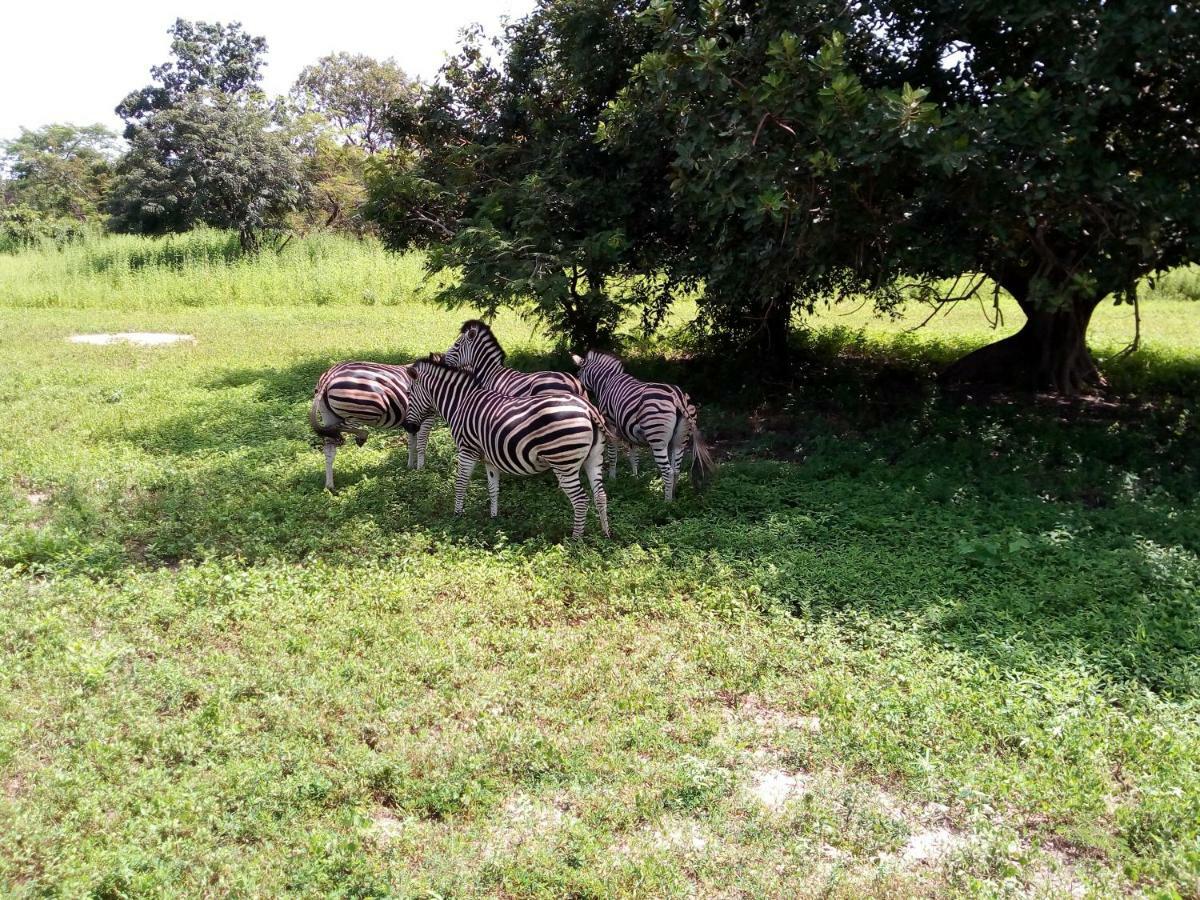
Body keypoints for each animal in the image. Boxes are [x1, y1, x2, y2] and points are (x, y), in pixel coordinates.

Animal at [309, 360, 436, 489]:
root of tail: (330, 373)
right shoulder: (428, 414)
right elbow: (421, 443)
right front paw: (420, 471)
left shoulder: (413, 421)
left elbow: (412, 443)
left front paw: (410, 467)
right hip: (364, 412)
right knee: (337, 428)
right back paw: (362, 435)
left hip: (329, 415)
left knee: (329, 446)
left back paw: (329, 486)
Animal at [405, 355, 614, 540]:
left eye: (408, 393)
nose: (409, 427)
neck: (461, 403)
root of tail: (588, 408)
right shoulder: (489, 458)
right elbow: (493, 488)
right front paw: (494, 518)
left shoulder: (467, 449)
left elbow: (461, 483)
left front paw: (457, 515)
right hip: (594, 458)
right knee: (601, 495)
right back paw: (606, 534)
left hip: (564, 462)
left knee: (581, 501)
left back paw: (575, 540)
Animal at [571, 350, 710, 504]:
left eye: (578, 374)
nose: (579, 393)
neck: (606, 382)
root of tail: (678, 396)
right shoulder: (630, 431)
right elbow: (634, 457)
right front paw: (635, 479)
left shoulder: (610, 425)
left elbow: (613, 455)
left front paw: (613, 479)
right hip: (680, 440)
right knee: (676, 469)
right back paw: (673, 496)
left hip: (657, 438)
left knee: (668, 471)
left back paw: (667, 503)